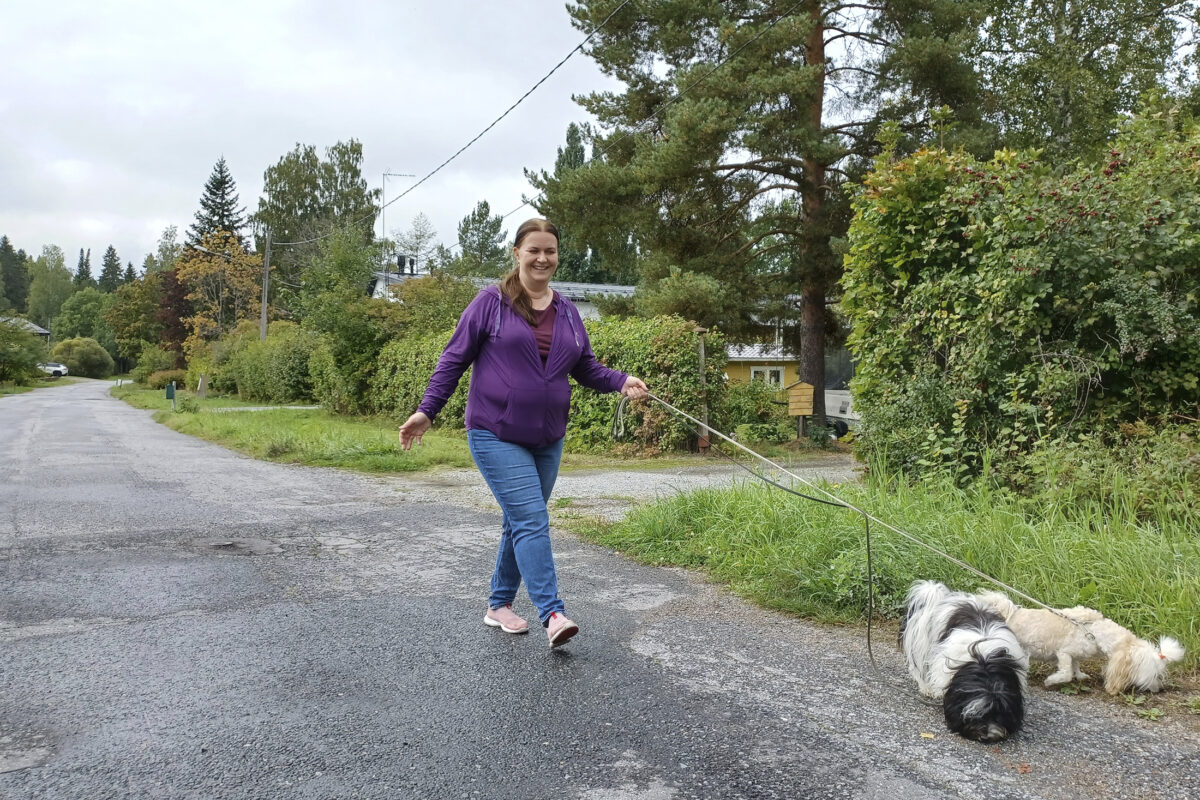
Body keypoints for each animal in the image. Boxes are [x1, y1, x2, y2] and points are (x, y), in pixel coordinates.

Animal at [902, 582, 1032, 743]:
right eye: (975, 716)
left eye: (999, 716)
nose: (986, 735)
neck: (983, 660)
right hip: (924, 641)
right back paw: (926, 688)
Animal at [979, 592, 1185, 695]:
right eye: (1155, 675)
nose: (1160, 689)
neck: (1095, 632)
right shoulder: (1064, 653)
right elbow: (1066, 673)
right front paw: (1051, 681)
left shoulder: (1076, 655)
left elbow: (1076, 666)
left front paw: (1080, 675)